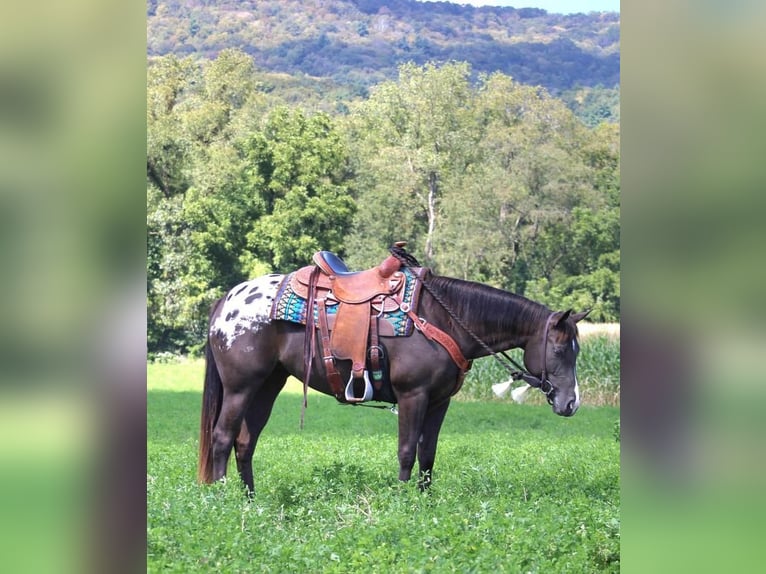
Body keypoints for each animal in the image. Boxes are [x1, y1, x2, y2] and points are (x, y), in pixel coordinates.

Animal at [196, 252, 588, 496]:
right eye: (559, 350)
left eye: (577, 350)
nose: (571, 403)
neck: (444, 318)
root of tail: (227, 300)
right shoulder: (413, 395)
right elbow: (406, 451)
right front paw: (402, 501)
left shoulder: (439, 402)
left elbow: (427, 453)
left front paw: (424, 500)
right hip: (240, 387)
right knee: (222, 438)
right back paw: (224, 499)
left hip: (267, 385)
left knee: (245, 442)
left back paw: (251, 500)